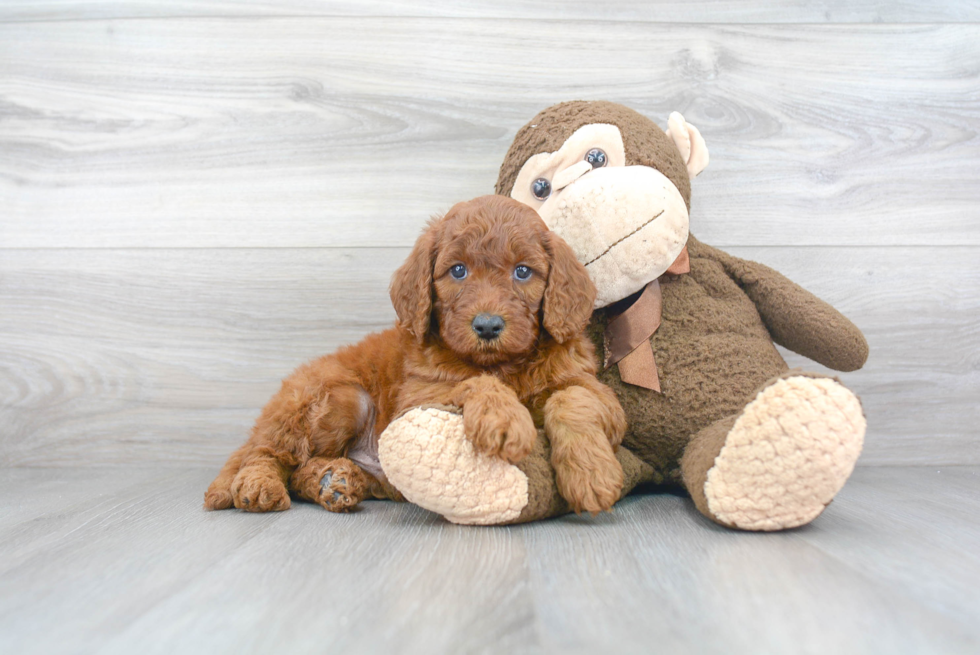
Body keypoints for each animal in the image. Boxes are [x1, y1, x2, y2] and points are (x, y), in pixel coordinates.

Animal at [203, 195, 624, 516]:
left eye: (523, 272)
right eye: (458, 271)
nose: (487, 326)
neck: (504, 364)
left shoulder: (596, 391)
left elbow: (574, 398)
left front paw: (591, 473)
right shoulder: (419, 398)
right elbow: (475, 381)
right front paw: (504, 419)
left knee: (299, 466)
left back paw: (334, 481)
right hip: (334, 400)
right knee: (267, 454)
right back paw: (259, 486)